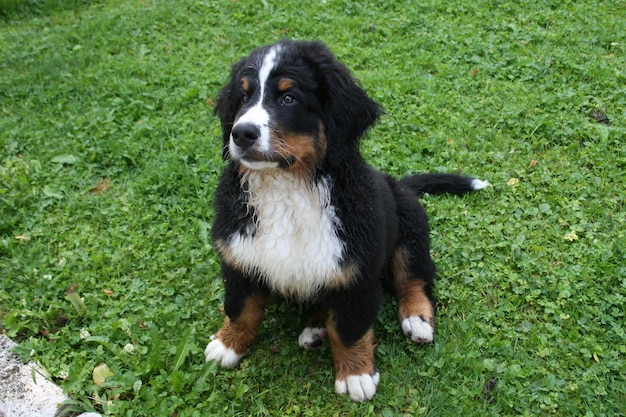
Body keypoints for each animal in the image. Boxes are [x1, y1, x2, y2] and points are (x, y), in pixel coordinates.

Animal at [205, 39, 488, 400]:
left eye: (288, 98)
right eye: (243, 97)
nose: (241, 134)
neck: (286, 187)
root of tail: (398, 184)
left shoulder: (357, 270)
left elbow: (350, 328)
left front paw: (355, 374)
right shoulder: (239, 255)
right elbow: (240, 309)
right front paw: (228, 344)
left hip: (410, 231)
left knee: (414, 279)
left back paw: (416, 319)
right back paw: (315, 330)